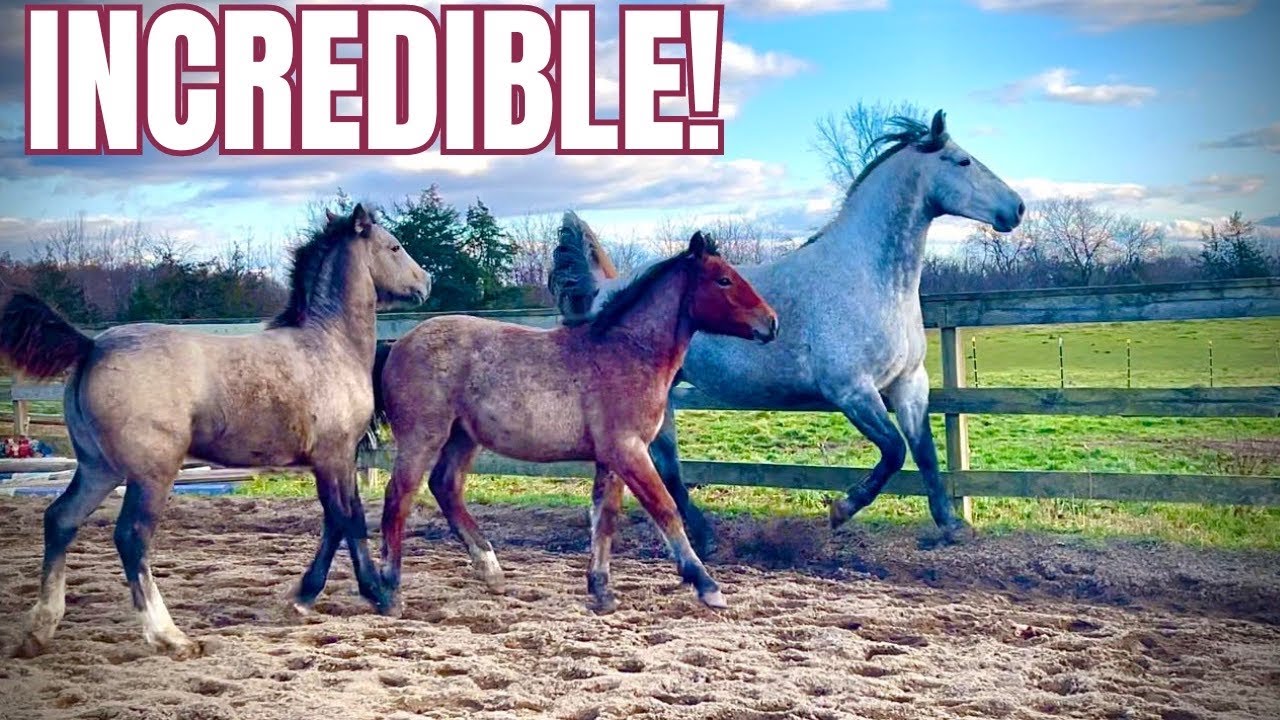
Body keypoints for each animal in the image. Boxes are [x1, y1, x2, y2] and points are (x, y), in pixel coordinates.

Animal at [0, 204, 430, 658]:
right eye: (394, 246)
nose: (426, 282)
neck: (329, 345)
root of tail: (93, 346)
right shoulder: (335, 455)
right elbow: (349, 519)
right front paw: (382, 596)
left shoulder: (331, 461)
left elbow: (336, 521)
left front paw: (302, 598)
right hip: (152, 473)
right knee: (131, 536)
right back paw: (170, 636)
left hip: (98, 467)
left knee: (60, 519)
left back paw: (39, 629)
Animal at [375, 232, 777, 613]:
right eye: (724, 280)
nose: (771, 323)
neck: (627, 353)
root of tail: (398, 344)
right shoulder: (629, 451)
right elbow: (666, 510)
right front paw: (707, 586)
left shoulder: (611, 458)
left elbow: (605, 518)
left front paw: (602, 590)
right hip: (422, 437)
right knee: (399, 496)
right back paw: (389, 590)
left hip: (462, 437)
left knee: (445, 487)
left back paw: (491, 571)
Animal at [549, 110, 1024, 550]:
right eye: (962, 161)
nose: (1017, 208)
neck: (872, 278)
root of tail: (605, 289)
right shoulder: (851, 389)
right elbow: (894, 451)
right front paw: (841, 509)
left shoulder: (910, 383)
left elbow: (924, 452)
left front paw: (949, 525)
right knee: (657, 461)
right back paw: (701, 537)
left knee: (661, 461)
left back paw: (703, 535)